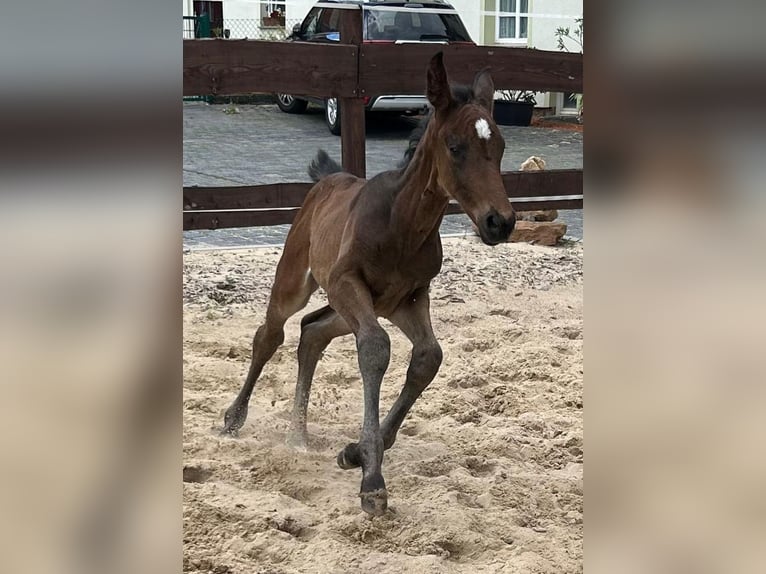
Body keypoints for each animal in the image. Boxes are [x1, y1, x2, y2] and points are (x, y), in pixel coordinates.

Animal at [225, 51, 520, 516]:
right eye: (455, 147)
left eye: (501, 148)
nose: (500, 222)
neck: (401, 224)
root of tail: (329, 179)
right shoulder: (348, 282)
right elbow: (377, 349)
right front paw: (372, 480)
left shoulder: (410, 298)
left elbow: (428, 357)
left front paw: (354, 453)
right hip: (303, 281)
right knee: (272, 333)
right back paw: (234, 418)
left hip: (356, 307)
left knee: (312, 332)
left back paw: (298, 435)